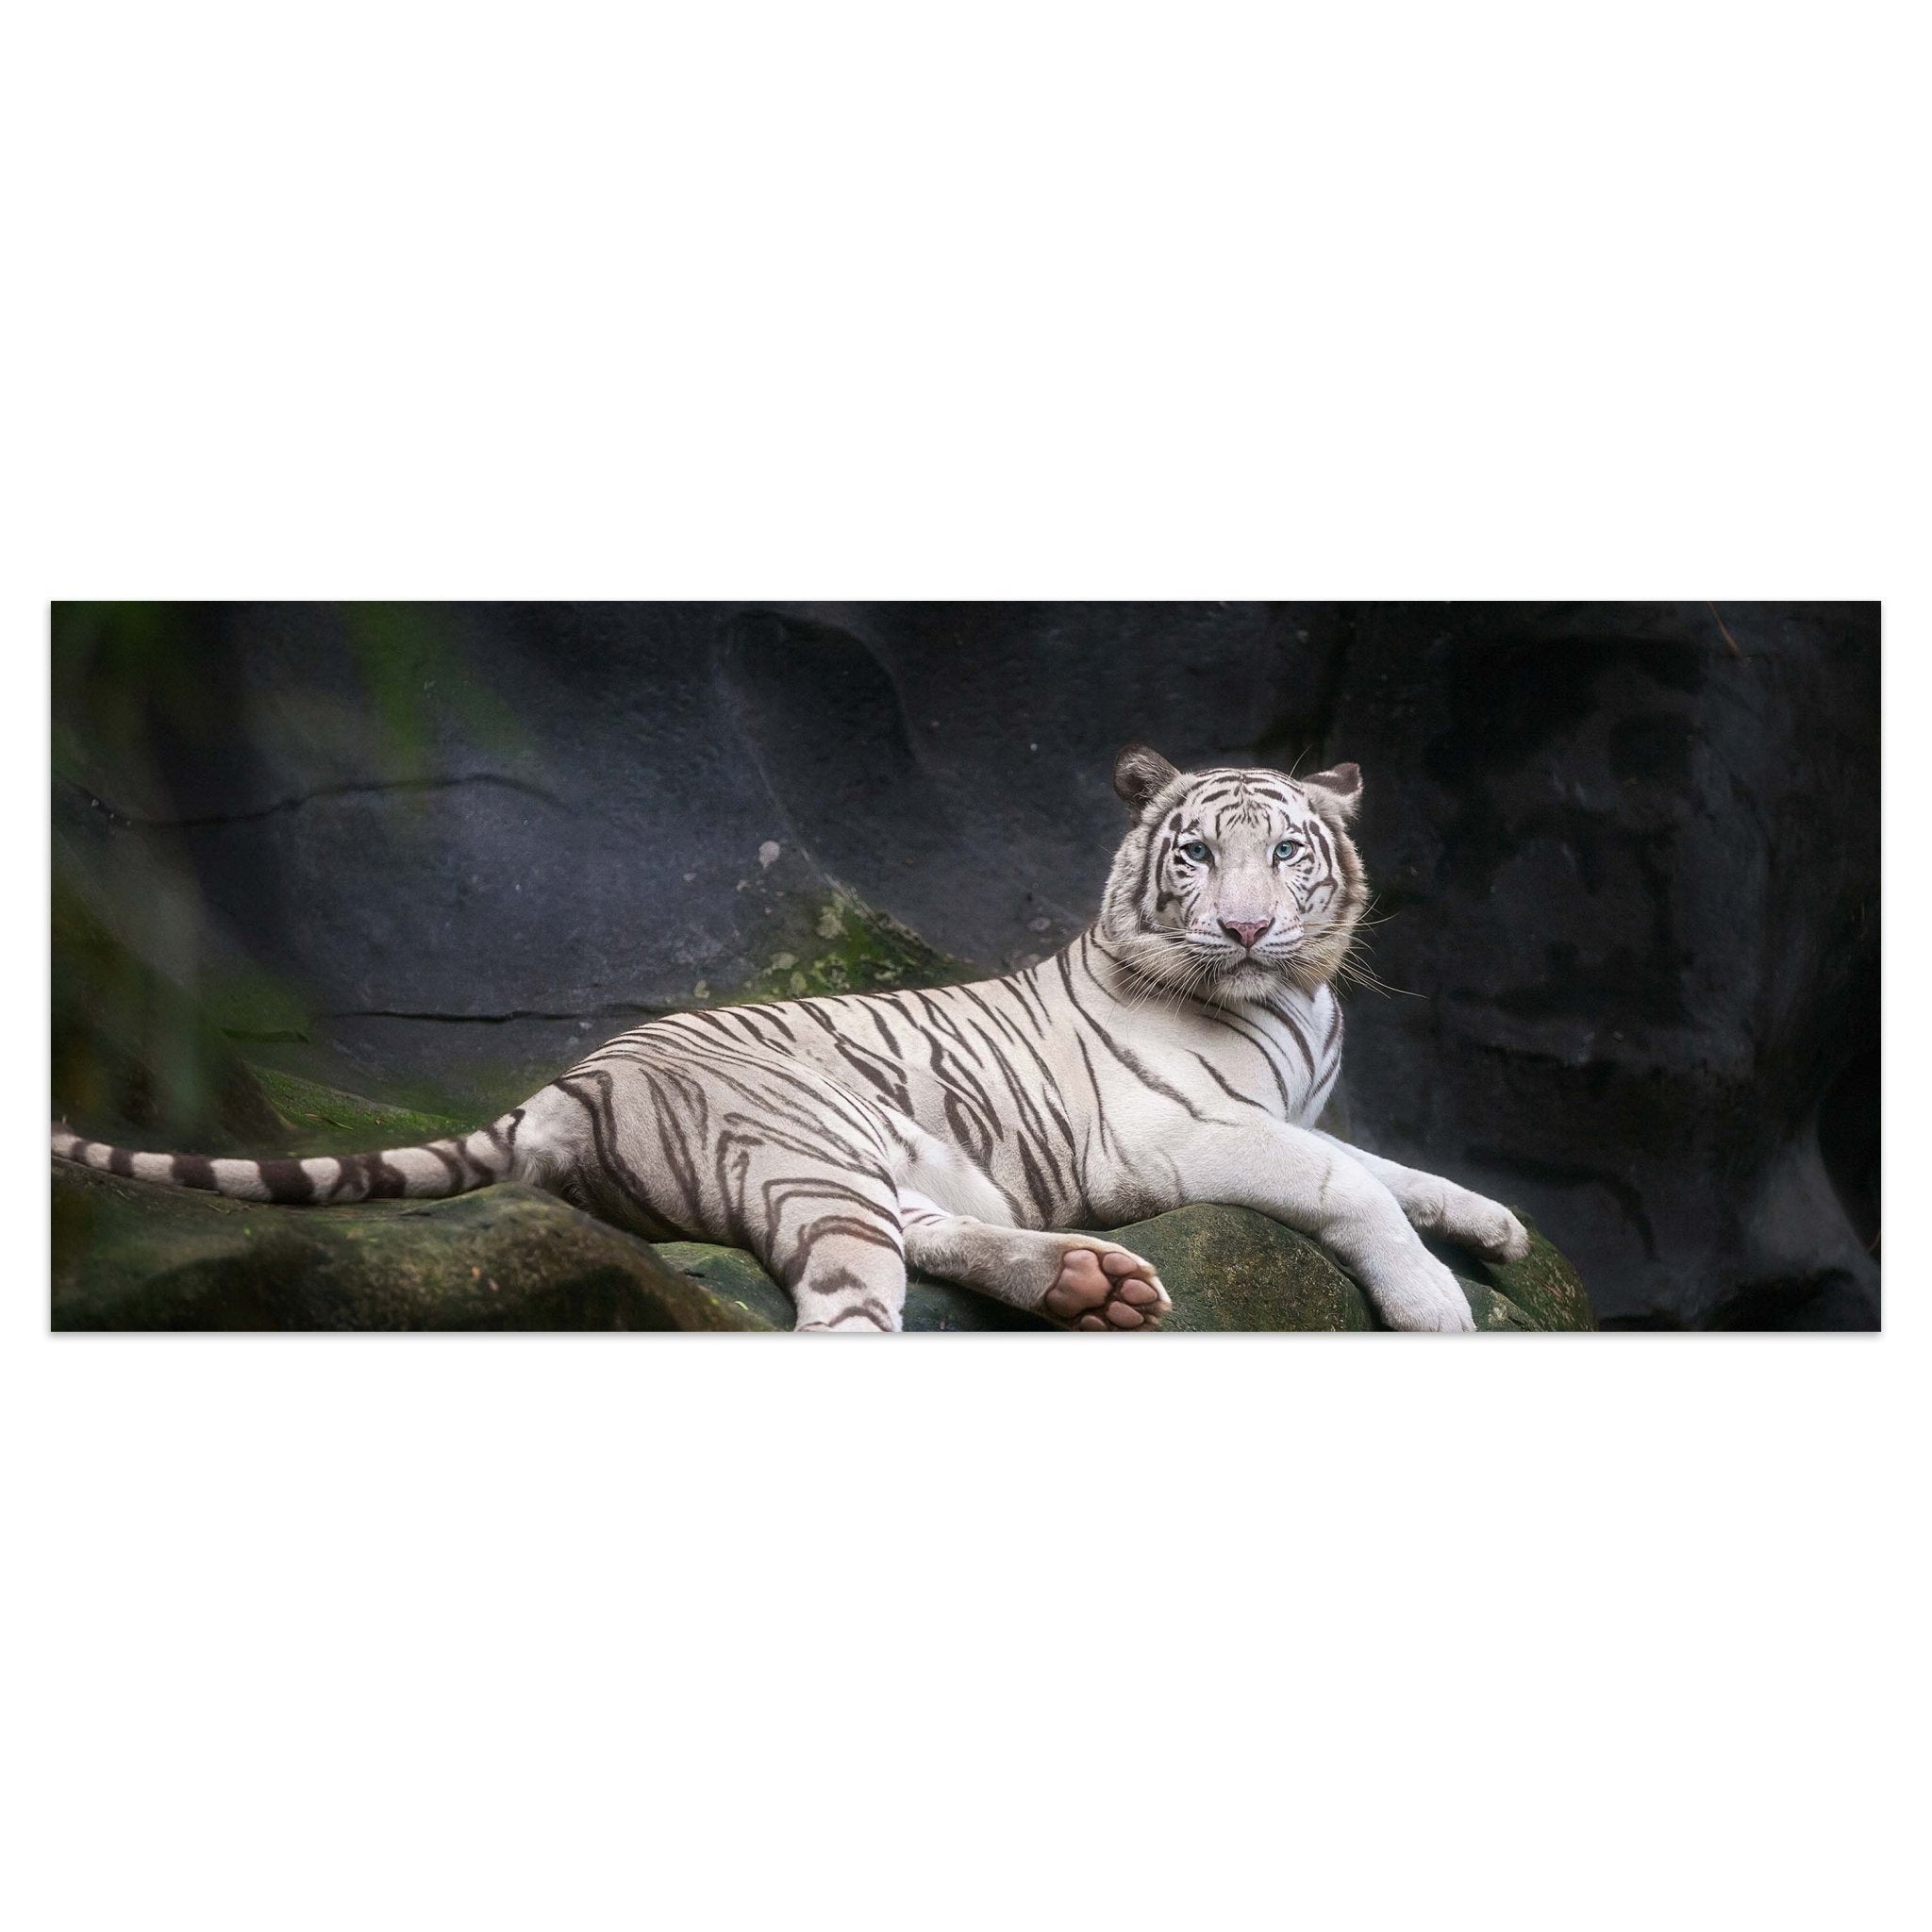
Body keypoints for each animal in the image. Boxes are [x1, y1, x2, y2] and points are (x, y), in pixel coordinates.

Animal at [51, 744, 1530, 1332]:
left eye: (1287, 851)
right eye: (1196, 856)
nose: (1244, 927)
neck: (1296, 1001)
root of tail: (567, 1080)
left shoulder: (1280, 1114)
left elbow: (1397, 1170)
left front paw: (1496, 1226)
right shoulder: (1177, 1137)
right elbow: (1349, 1186)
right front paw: (1437, 1307)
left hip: (863, 1157)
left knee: (925, 1235)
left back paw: (1085, 1284)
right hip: (809, 1144)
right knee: (850, 1303)